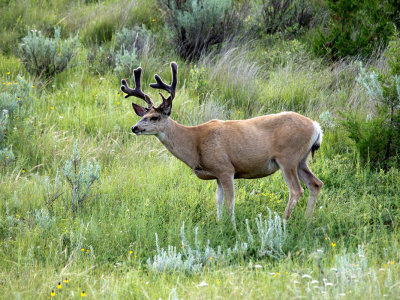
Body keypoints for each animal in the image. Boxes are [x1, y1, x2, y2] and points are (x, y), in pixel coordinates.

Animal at [120, 61, 324, 220]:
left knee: (296, 190)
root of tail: (316, 126)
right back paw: (307, 219)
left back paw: (283, 221)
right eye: (143, 115)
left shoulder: (226, 168)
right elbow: (217, 202)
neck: (194, 143)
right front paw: (219, 225)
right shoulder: (216, 174)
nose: (134, 128)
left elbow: (229, 202)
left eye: (154, 117)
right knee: (315, 183)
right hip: (301, 159)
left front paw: (232, 228)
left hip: (287, 157)